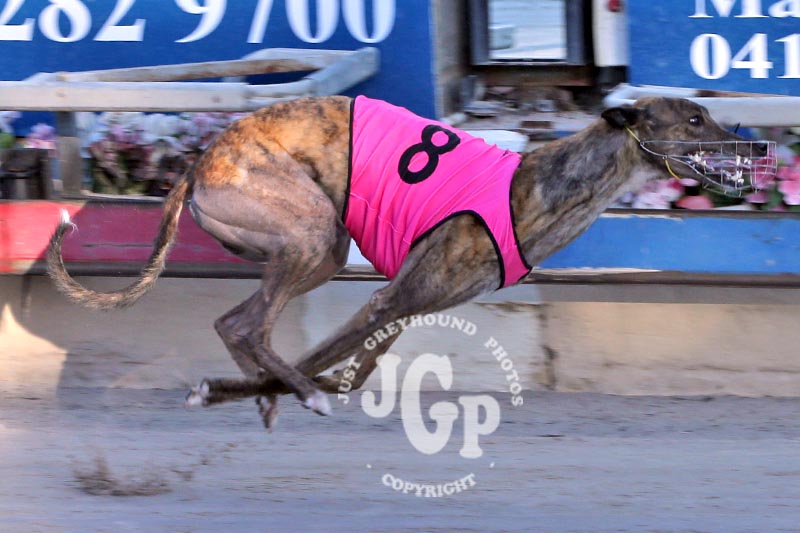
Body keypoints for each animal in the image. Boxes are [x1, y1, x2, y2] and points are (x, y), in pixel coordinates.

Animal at [47, 95, 771, 428]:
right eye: (695, 119)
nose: (759, 143)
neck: (540, 185)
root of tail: (198, 162)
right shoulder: (389, 299)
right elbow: (326, 364)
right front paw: (284, 391)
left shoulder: (402, 310)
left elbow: (351, 372)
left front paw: (254, 395)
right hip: (311, 231)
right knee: (245, 324)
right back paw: (295, 392)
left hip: (318, 246)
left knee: (243, 325)